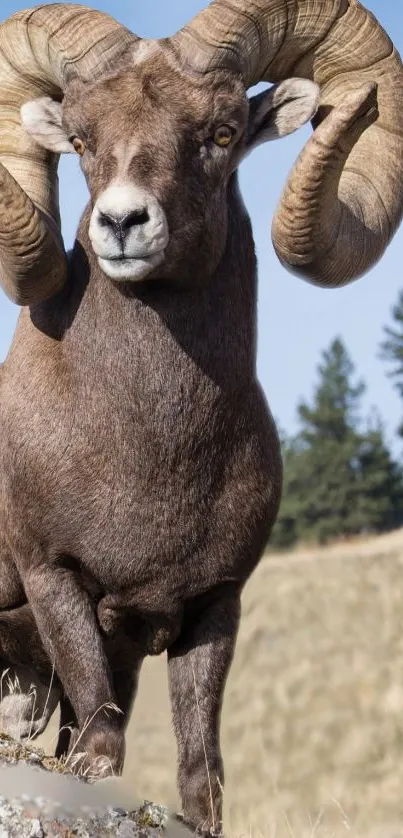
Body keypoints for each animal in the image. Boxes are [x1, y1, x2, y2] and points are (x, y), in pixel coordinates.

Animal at [0, 1, 402, 832]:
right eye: (80, 140)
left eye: (220, 133)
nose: (123, 224)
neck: (148, 458)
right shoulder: (55, 584)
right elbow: (99, 749)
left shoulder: (210, 611)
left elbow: (199, 774)